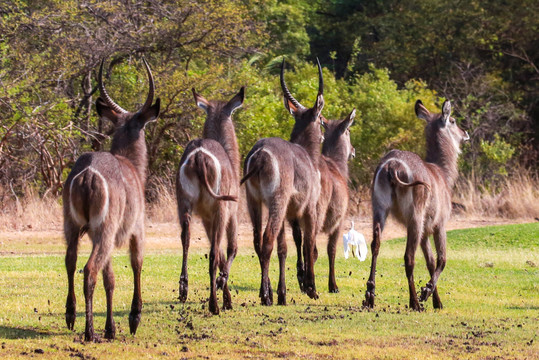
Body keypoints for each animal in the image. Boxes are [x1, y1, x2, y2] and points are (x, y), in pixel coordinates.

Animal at [63, 57, 160, 342]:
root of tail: (87, 173)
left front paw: (111, 327)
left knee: (71, 261)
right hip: (104, 229)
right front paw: (133, 319)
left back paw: (71, 316)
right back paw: (89, 331)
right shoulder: (137, 229)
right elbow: (137, 264)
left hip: (73, 226)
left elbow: (111, 279)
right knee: (89, 269)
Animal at [176, 86, 244, 314]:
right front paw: (224, 289)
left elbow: (222, 252)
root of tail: (198, 155)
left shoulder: (206, 218)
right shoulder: (231, 214)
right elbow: (231, 249)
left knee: (186, 239)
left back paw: (183, 289)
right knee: (214, 253)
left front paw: (227, 297)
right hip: (221, 207)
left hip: (184, 205)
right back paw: (214, 304)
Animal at [242, 58, 324, 304]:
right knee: (267, 239)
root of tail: (259, 154)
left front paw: (283, 292)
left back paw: (269, 292)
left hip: (254, 202)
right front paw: (311, 288)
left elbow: (284, 248)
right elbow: (309, 244)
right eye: (321, 120)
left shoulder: (290, 211)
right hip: (276, 201)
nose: (324, 132)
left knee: (258, 242)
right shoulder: (310, 208)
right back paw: (265, 296)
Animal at [292, 109, 358, 292]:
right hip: (316, 214)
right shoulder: (340, 221)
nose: (353, 150)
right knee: (310, 246)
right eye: (349, 130)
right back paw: (308, 282)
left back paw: (301, 276)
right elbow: (332, 250)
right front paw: (333, 285)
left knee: (298, 240)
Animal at [362, 100, 472, 310]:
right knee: (408, 257)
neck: (442, 173)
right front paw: (427, 292)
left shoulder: (425, 231)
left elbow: (430, 261)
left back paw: (370, 296)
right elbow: (442, 259)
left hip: (379, 208)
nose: (466, 133)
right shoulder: (439, 224)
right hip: (415, 216)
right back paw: (414, 302)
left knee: (375, 244)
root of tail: (392, 165)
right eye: (453, 120)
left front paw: (437, 301)